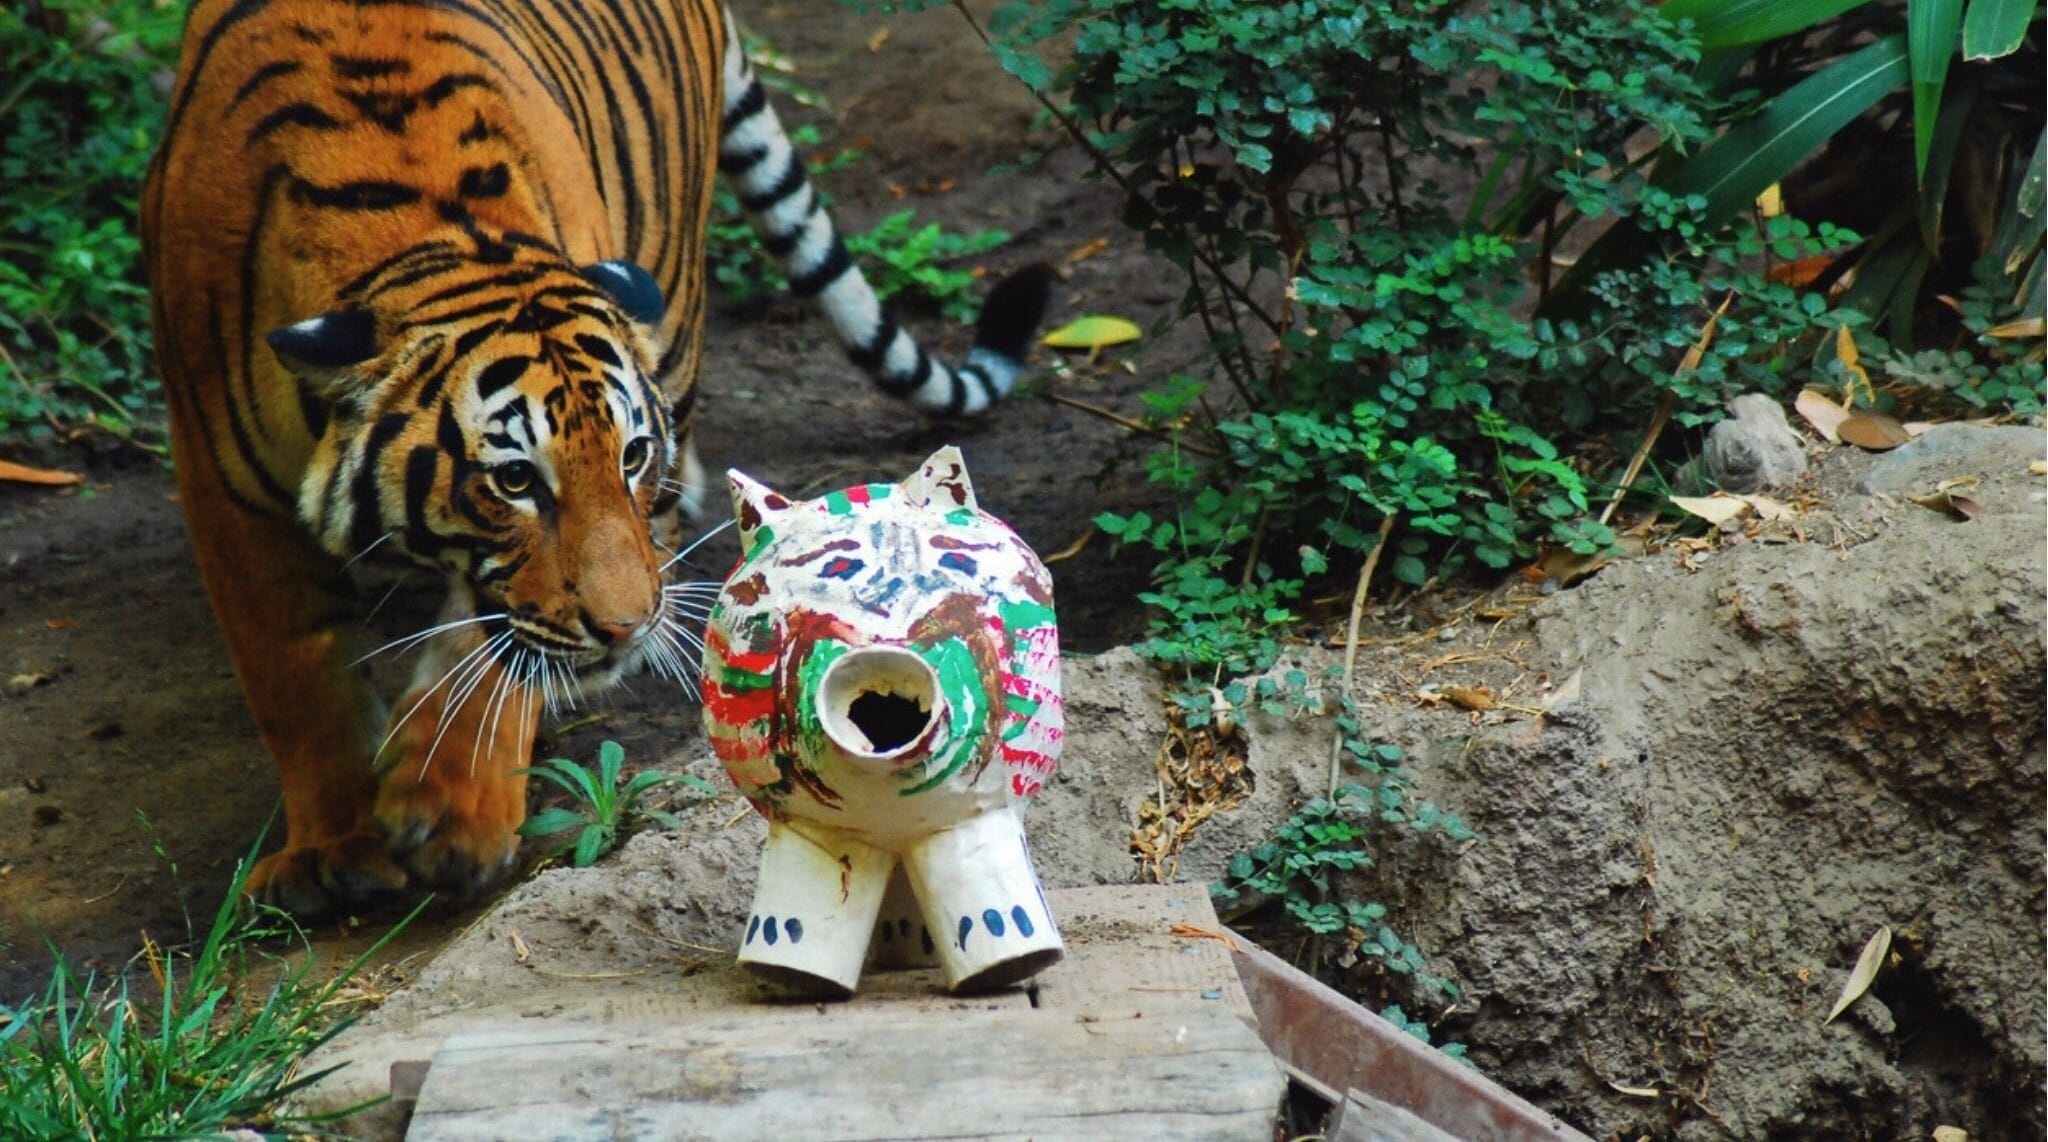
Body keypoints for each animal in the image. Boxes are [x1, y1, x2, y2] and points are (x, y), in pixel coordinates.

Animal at [141, 0, 1050, 917]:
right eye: (514, 479)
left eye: (633, 455)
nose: (627, 626)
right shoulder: (224, 489)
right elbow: (297, 674)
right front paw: (332, 851)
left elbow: (496, 656)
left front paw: (450, 810)